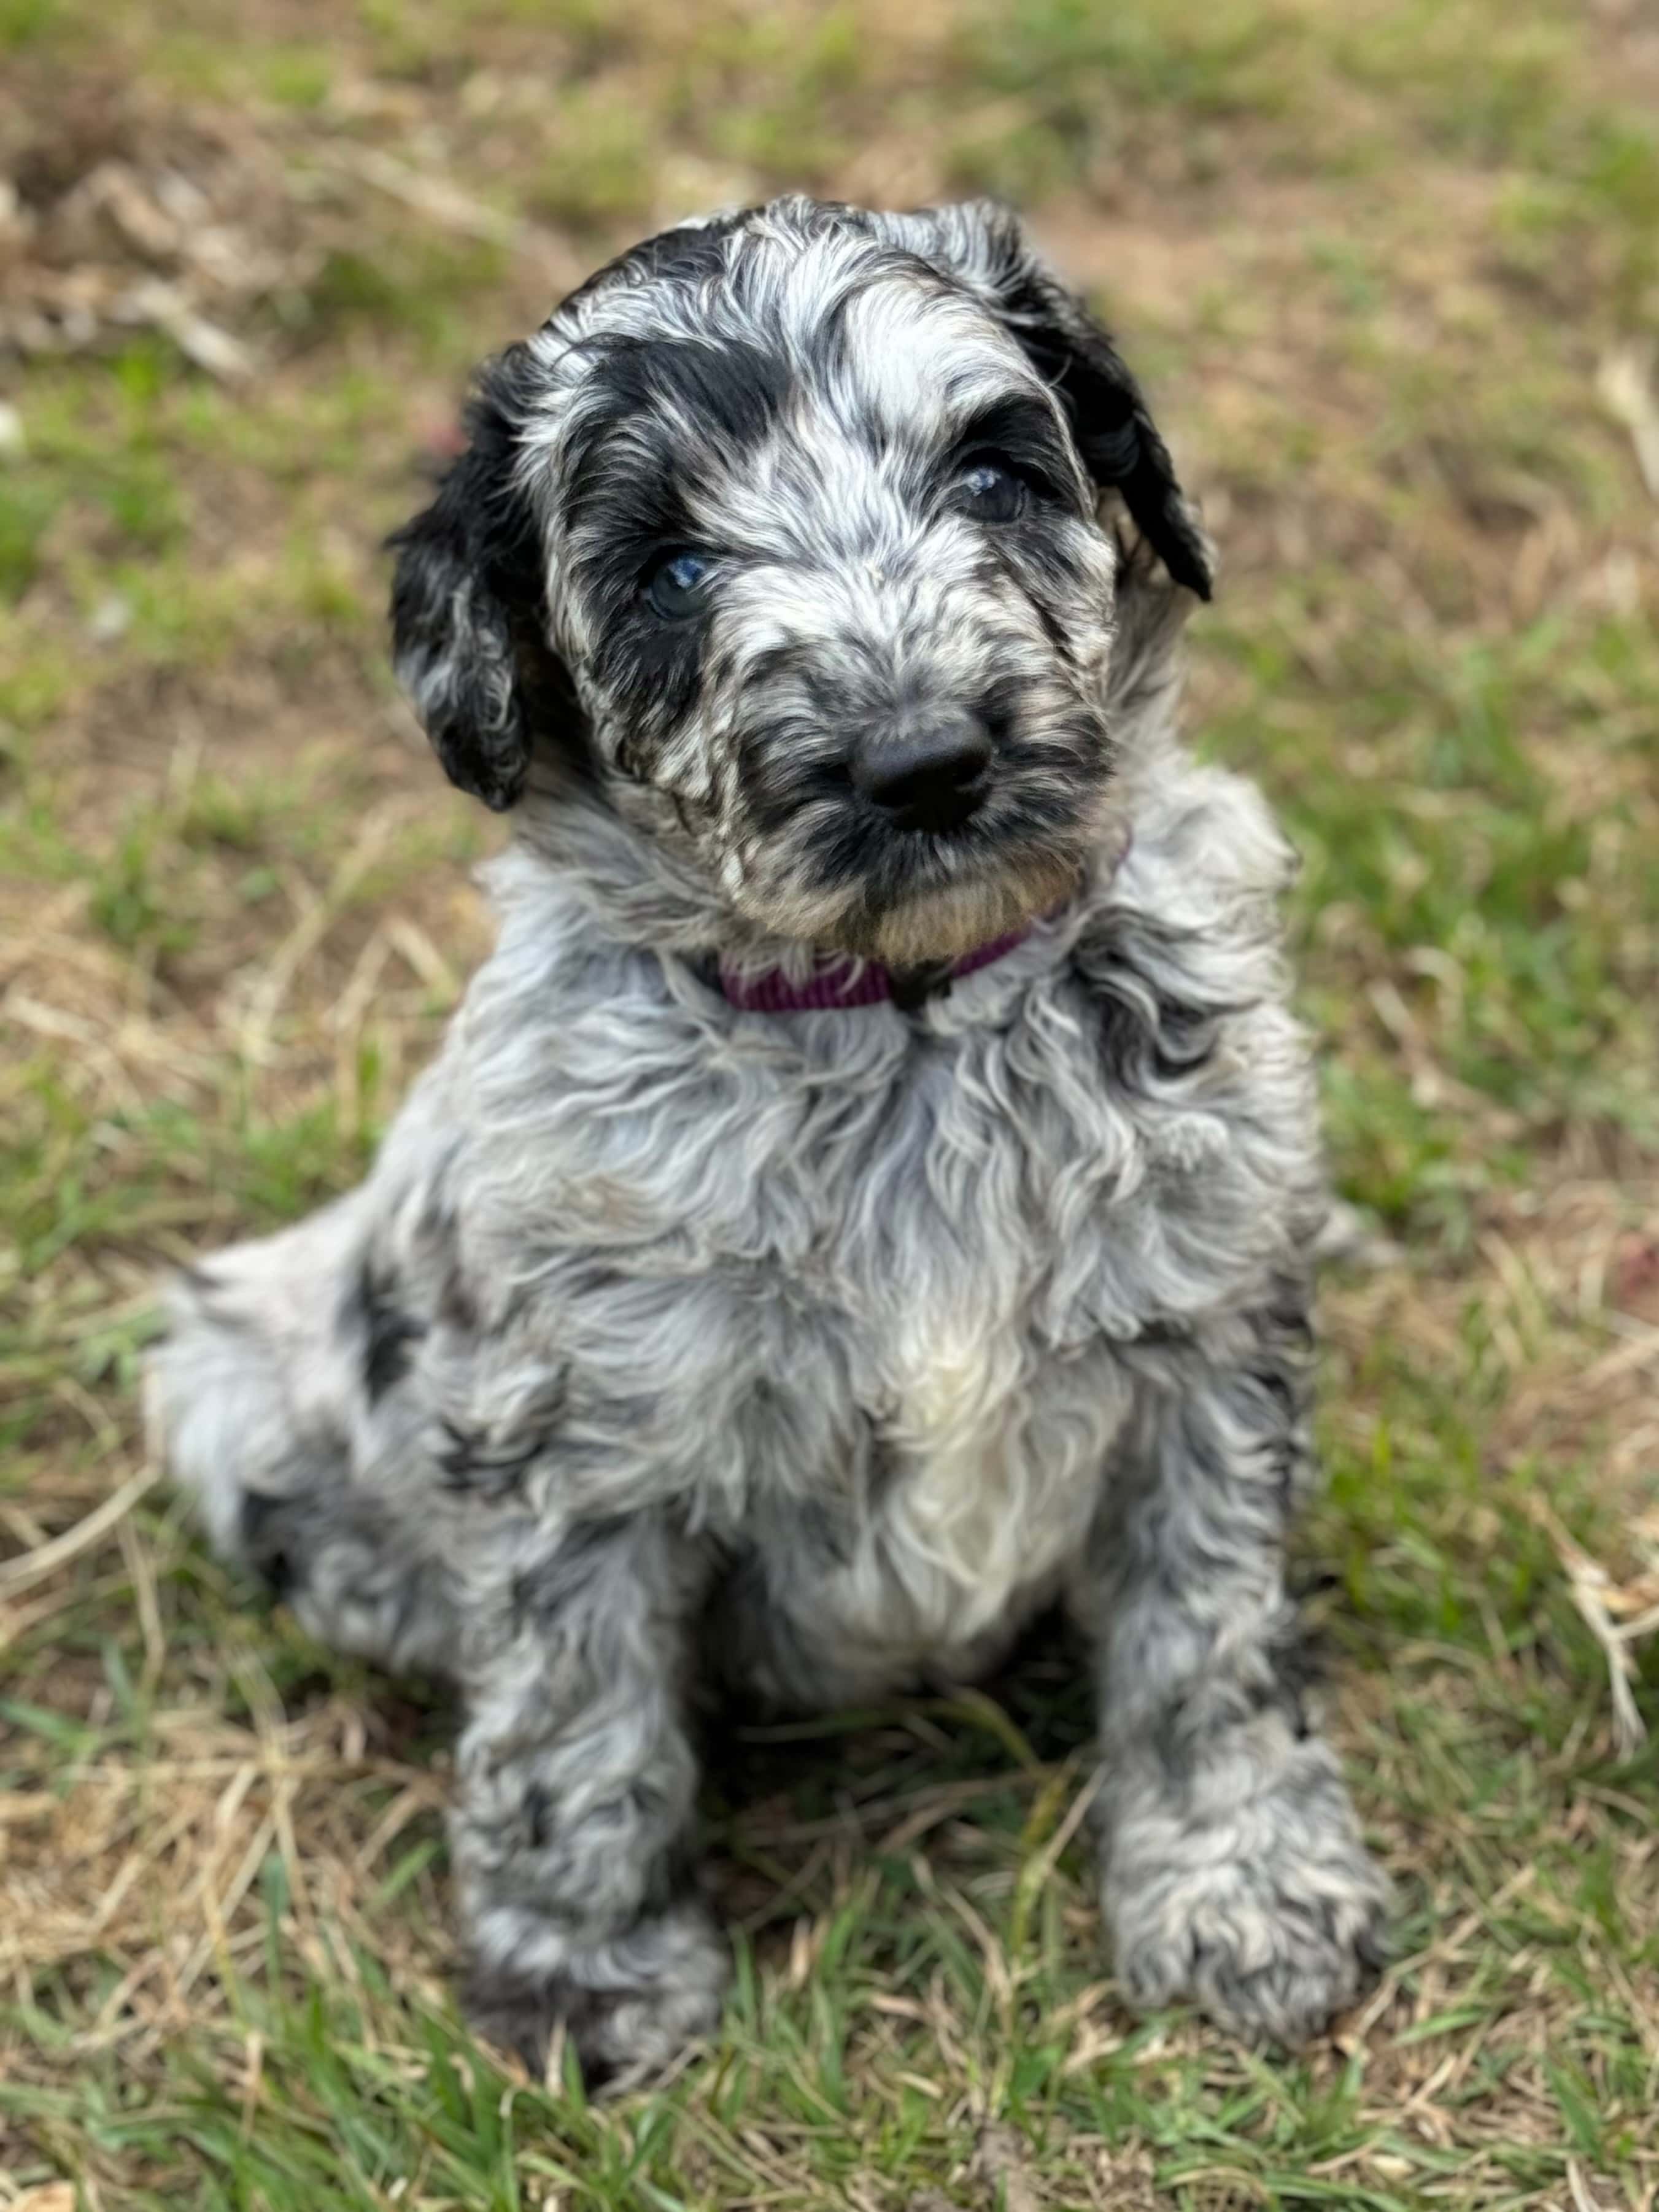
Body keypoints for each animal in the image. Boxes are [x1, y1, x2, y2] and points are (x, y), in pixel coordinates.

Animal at [145, 199, 1389, 2079]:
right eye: (667, 570)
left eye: (991, 471)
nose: (924, 761)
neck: (904, 1012)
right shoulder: (566, 1434)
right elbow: (572, 1719)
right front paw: (583, 1979)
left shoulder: (1208, 1331)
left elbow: (1208, 1636)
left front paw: (1238, 1887)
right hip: (240, 1365)